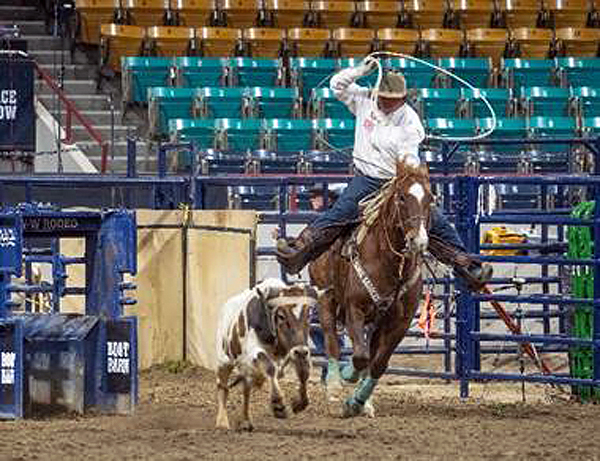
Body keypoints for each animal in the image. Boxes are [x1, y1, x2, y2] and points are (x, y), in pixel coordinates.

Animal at [216, 276, 318, 432]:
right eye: (281, 316)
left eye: (309, 315)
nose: (301, 351)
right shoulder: (253, 351)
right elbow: (269, 367)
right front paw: (278, 404)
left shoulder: (297, 350)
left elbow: (304, 372)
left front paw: (300, 402)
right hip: (224, 361)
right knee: (223, 387)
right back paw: (222, 421)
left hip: (248, 369)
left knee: (246, 389)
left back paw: (245, 420)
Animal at [310, 160, 432, 416]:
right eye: (402, 198)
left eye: (431, 198)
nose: (419, 241)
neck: (389, 262)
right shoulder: (354, 309)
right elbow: (359, 356)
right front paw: (348, 376)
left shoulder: (400, 322)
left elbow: (378, 363)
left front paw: (357, 401)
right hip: (325, 297)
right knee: (330, 337)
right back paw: (334, 385)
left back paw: (363, 402)